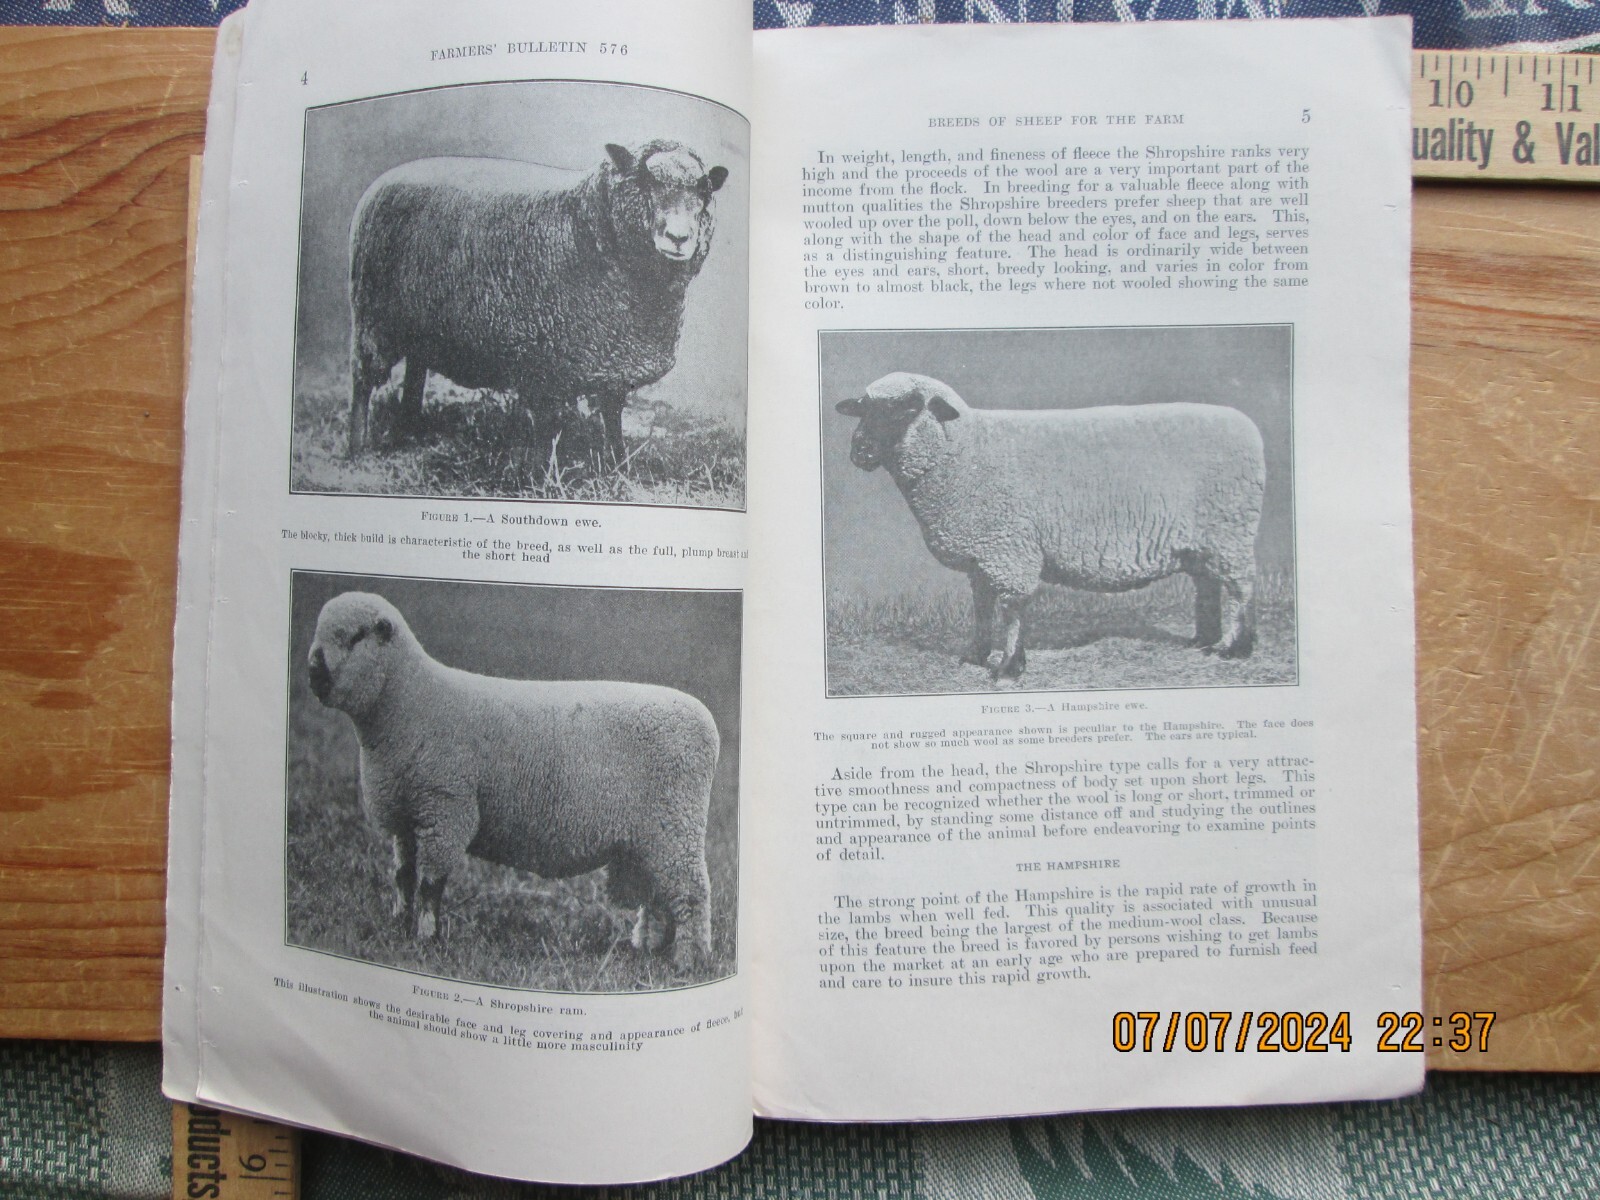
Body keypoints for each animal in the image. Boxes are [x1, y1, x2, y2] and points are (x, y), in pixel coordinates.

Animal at [306, 591, 718, 969]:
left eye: (355, 636)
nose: (313, 671)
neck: (409, 702)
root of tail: (706, 723)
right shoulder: (408, 816)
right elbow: (403, 878)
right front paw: (399, 928)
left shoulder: (445, 809)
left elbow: (429, 885)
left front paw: (427, 938)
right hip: (648, 841)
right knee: (658, 897)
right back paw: (651, 949)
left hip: (675, 826)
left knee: (691, 895)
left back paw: (688, 960)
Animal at [346, 140, 729, 461]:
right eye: (646, 182)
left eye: (702, 190)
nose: (678, 238)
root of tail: (384, 178)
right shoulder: (541, 361)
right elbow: (546, 430)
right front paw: (542, 475)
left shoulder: (613, 361)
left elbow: (612, 415)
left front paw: (619, 465)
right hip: (372, 315)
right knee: (363, 381)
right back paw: (357, 447)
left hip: (422, 325)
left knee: (415, 370)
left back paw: (410, 426)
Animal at [835, 373, 1264, 682]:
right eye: (863, 409)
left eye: (908, 409)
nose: (860, 450)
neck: (966, 452)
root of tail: (1246, 426)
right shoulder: (981, 555)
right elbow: (982, 607)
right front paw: (975, 655)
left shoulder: (1009, 548)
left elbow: (1011, 608)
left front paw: (1009, 666)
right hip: (1200, 540)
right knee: (1207, 585)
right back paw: (1202, 641)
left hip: (1229, 528)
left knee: (1240, 587)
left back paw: (1233, 646)